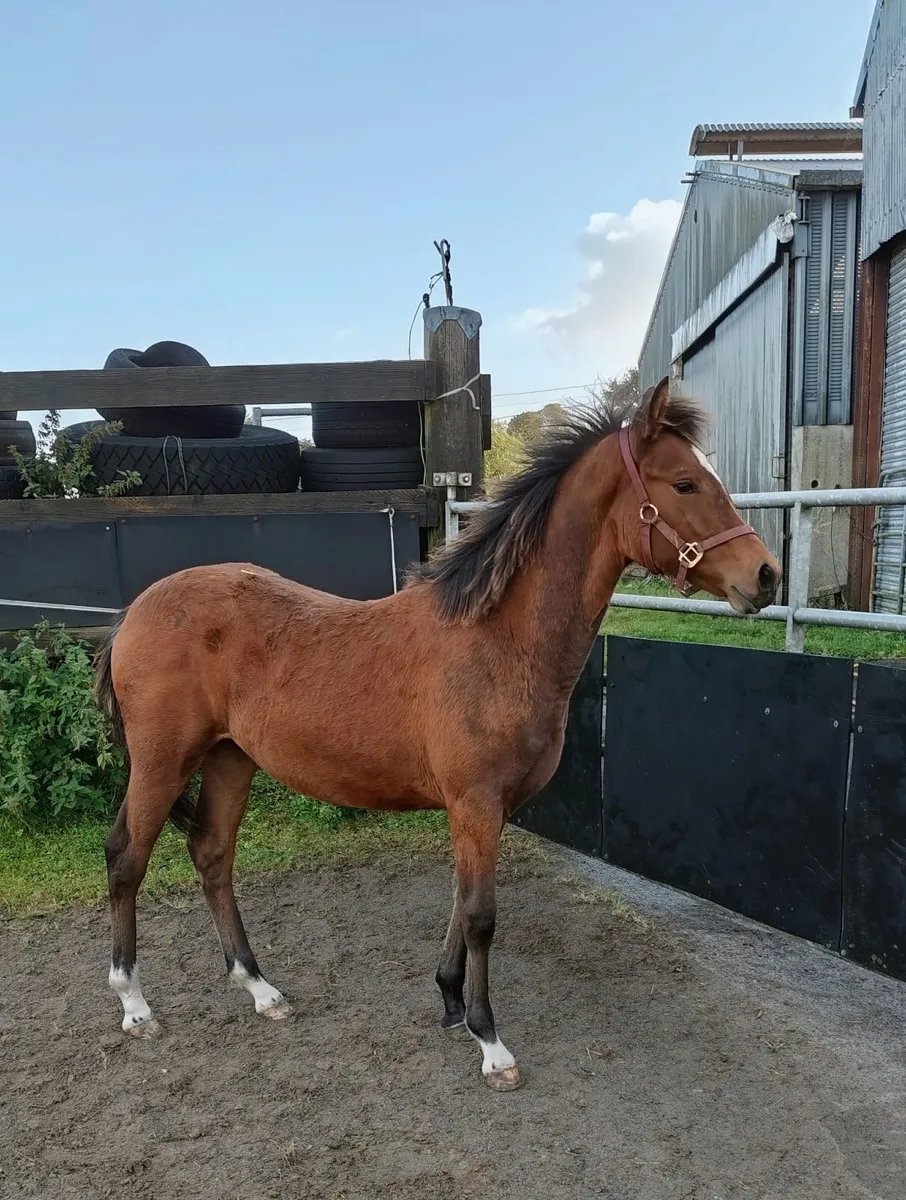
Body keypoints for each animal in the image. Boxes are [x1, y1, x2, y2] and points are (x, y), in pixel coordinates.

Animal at [94, 380, 780, 1090]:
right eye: (685, 483)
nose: (765, 574)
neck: (497, 641)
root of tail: (132, 613)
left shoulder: (481, 809)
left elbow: (460, 900)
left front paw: (450, 1000)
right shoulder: (474, 802)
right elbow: (481, 915)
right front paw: (489, 1040)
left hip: (230, 758)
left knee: (212, 855)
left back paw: (260, 989)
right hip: (162, 760)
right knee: (126, 858)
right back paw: (134, 1003)